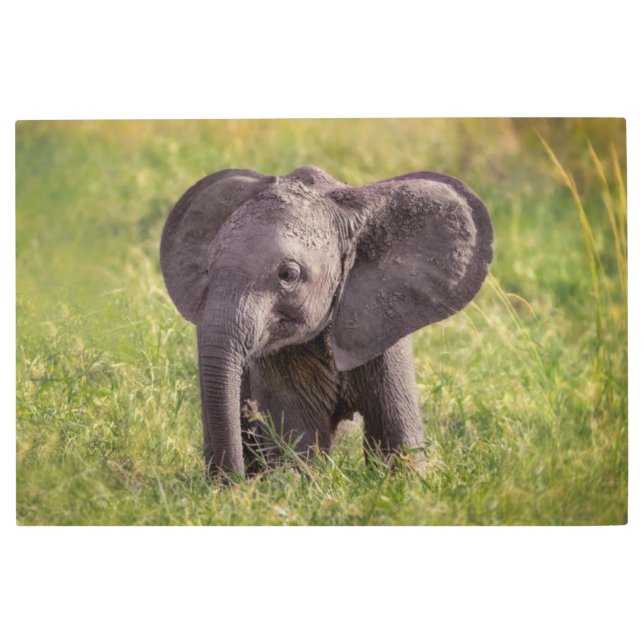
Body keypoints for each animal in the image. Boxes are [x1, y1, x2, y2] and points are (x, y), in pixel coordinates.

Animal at [160, 166, 493, 479]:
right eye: (208, 268)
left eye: (288, 275)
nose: (236, 482)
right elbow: (297, 439)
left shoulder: (384, 328)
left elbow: (395, 435)